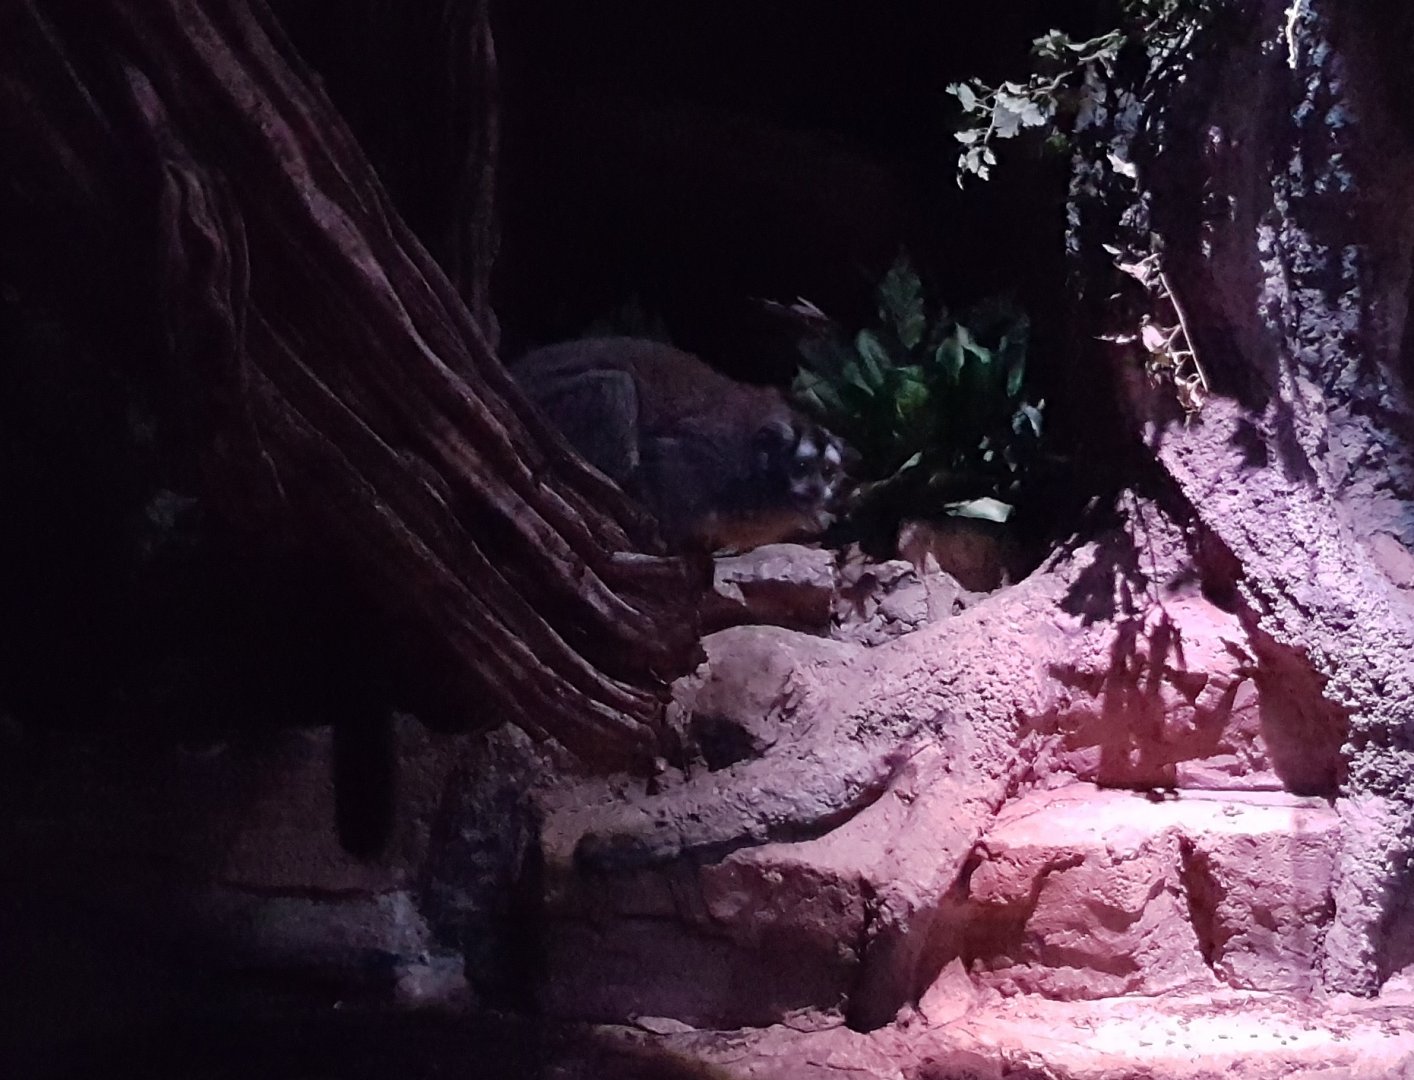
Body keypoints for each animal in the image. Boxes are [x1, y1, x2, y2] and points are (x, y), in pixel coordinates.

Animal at [512, 337, 849, 553]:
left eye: (828, 472)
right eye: (801, 467)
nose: (817, 490)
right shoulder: (714, 462)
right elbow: (660, 458)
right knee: (617, 388)